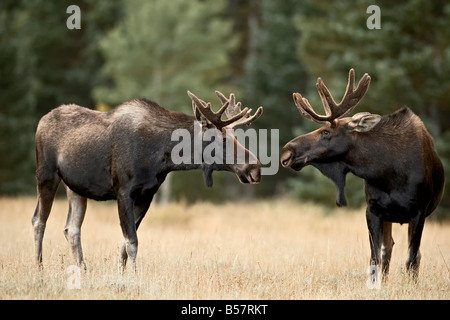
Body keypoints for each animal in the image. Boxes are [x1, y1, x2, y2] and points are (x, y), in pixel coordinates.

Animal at [32, 90, 264, 270]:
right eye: (221, 139)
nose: (255, 167)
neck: (162, 156)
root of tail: (41, 120)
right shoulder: (123, 190)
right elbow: (132, 241)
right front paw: (133, 277)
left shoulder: (147, 195)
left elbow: (125, 244)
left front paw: (122, 274)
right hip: (46, 174)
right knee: (38, 221)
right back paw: (39, 268)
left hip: (76, 188)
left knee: (72, 229)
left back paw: (83, 269)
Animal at [284, 69, 444, 282]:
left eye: (326, 132)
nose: (287, 151)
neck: (389, 173)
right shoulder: (373, 209)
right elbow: (374, 258)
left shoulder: (418, 211)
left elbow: (411, 258)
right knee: (388, 248)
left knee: (414, 255)